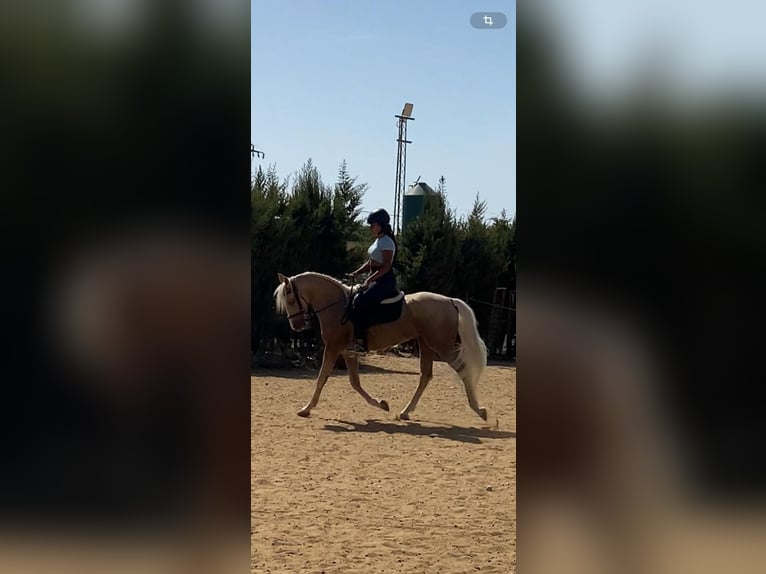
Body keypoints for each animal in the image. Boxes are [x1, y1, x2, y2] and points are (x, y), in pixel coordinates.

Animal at [276, 272, 488, 420]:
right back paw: (405, 412)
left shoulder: (333, 348)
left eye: (290, 298)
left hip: (442, 346)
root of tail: (450, 301)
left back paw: (480, 411)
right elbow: (355, 382)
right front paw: (382, 404)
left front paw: (306, 409)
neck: (337, 306)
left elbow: (321, 378)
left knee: (462, 369)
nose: (296, 326)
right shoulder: (348, 352)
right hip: (426, 344)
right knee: (426, 376)